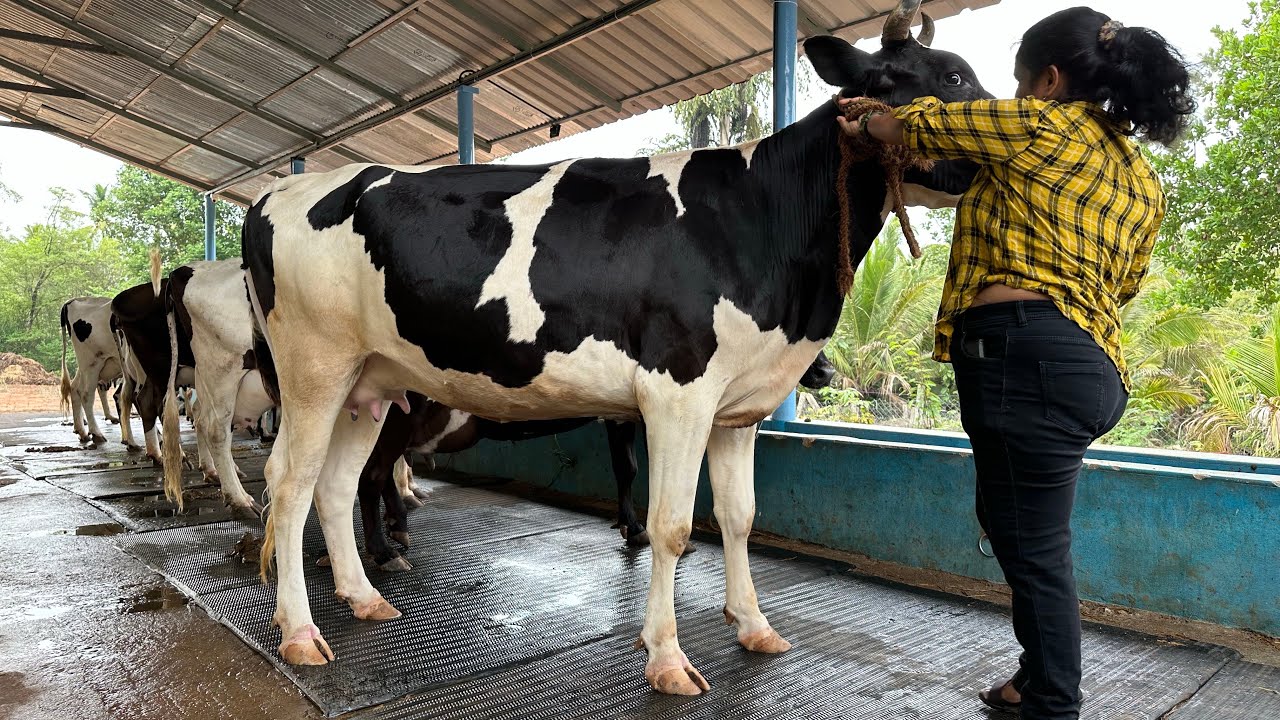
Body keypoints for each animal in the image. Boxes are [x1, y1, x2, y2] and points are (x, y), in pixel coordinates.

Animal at [59, 297, 124, 444]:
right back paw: (96, 433)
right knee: (86, 394)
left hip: (86, 366)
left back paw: (82, 432)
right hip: (92, 363)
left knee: (75, 387)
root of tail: (72, 301)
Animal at [243, 0, 986, 694]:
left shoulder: (737, 406)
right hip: (314, 368)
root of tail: (277, 190)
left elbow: (740, 517)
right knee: (291, 483)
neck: (763, 221)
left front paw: (753, 626)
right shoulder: (677, 390)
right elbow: (674, 526)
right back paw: (300, 631)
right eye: (950, 76)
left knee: (339, 483)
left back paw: (364, 597)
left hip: (369, 382)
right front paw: (667, 658)